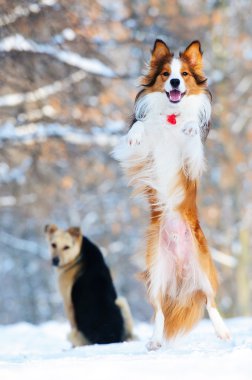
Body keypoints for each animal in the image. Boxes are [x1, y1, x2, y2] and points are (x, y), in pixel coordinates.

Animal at [114, 39, 230, 350]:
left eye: (184, 74)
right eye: (166, 74)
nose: (175, 82)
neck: (171, 115)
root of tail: (180, 267)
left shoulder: (191, 164)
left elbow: (192, 140)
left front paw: (190, 126)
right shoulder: (141, 156)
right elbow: (139, 129)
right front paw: (137, 132)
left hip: (204, 269)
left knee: (211, 302)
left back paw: (223, 332)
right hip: (156, 274)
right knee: (159, 312)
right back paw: (155, 340)